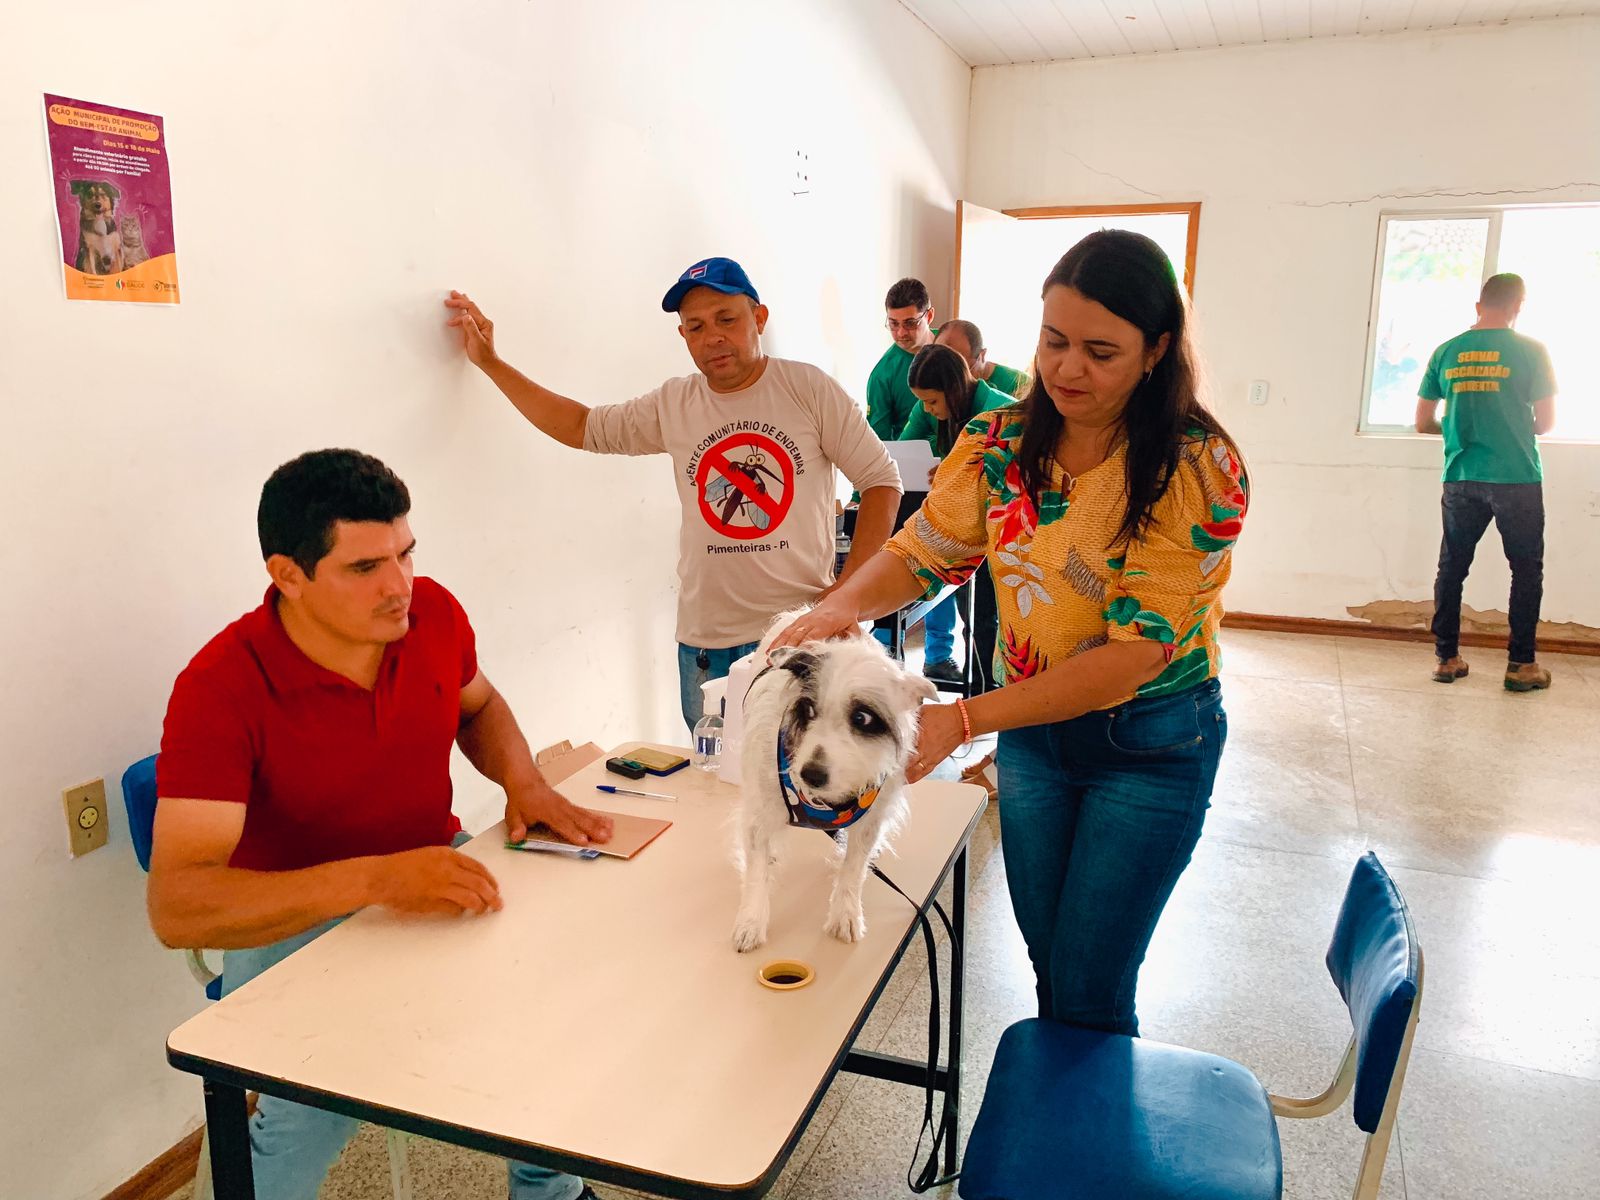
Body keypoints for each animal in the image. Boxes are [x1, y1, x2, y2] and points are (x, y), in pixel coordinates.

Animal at [731, 610, 937, 953]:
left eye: (862, 718)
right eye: (809, 709)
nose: (810, 775)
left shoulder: (871, 815)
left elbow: (854, 866)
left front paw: (845, 914)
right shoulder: (760, 810)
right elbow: (757, 866)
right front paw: (751, 921)